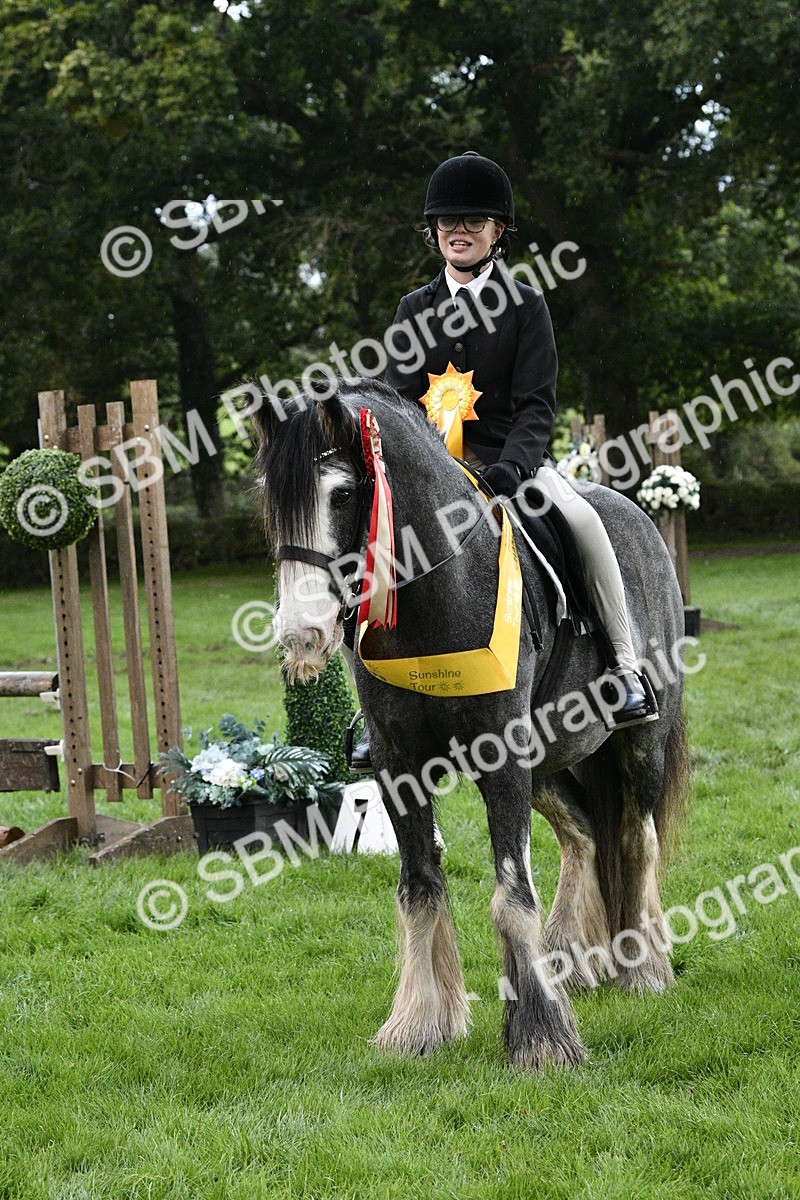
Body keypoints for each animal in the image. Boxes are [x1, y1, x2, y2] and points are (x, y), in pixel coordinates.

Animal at [253, 377, 690, 1070]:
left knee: (635, 835)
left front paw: (540, 1037)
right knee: (585, 835)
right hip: (552, 757)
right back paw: (573, 960)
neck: (438, 594)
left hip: (638, 742)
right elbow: (419, 888)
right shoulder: (399, 767)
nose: (302, 633)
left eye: (342, 494)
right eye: (272, 501)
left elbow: (511, 896)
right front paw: (420, 1024)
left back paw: (644, 967)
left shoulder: (503, 754)